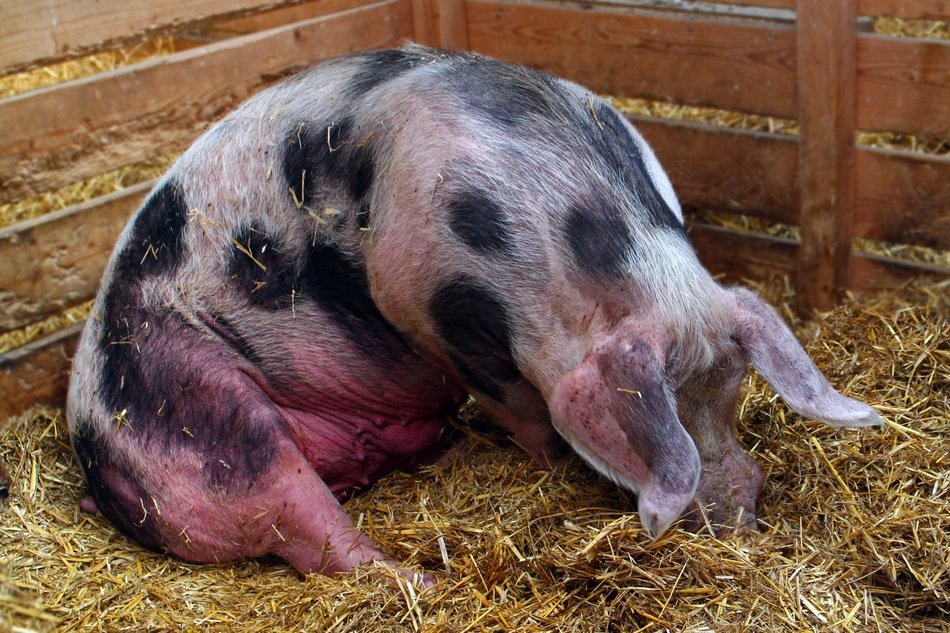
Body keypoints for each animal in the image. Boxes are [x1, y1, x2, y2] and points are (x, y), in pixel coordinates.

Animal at [66, 44, 882, 583]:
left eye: (733, 394)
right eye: (663, 416)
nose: (740, 512)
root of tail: (94, 460)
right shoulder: (429, 307)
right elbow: (522, 406)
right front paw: (551, 460)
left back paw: (453, 456)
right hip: (206, 425)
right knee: (313, 533)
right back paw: (426, 579)